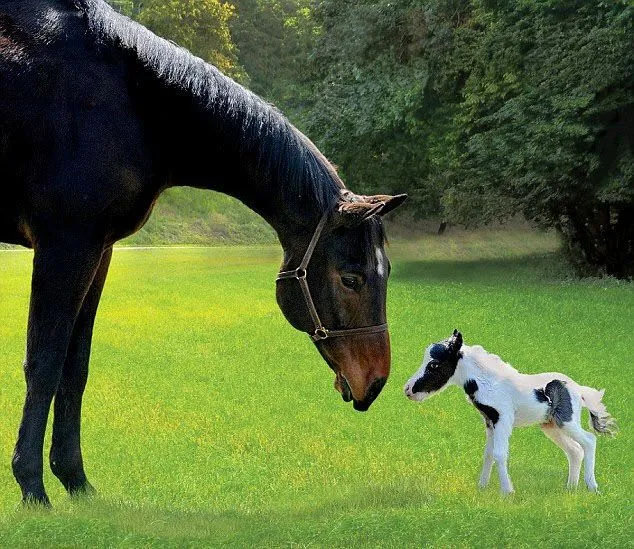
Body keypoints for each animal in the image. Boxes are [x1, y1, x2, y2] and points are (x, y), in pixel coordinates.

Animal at [0, 0, 404, 506]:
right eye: (351, 278)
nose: (376, 380)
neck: (127, 99)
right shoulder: (65, 247)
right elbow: (45, 364)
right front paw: (33, 487)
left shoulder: (97, 252)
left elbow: (76, 368)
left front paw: (75, 480)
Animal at [402, 332, 616, 494]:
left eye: (434, 364)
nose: (408, 390)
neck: (489, 383)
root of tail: (578, 389)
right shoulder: (489, 422)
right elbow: (488, 453)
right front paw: (482, 487)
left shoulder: (503, 418)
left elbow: (499, 453)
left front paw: (507, 492)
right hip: (551, 426)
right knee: (575, 450)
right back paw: (570, 488)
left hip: (566, 421)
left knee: (589, 441)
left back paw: (592, 487)